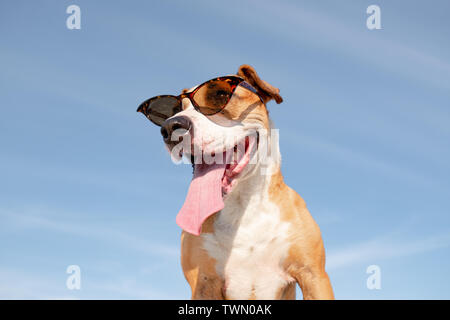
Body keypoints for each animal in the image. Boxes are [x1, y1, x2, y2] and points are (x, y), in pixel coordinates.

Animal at [137, 65, 334, 300]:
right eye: (175, 110)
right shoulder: (204, 282)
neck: (243, 204)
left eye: (221, 95)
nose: (170, 126)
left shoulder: (313, 275)